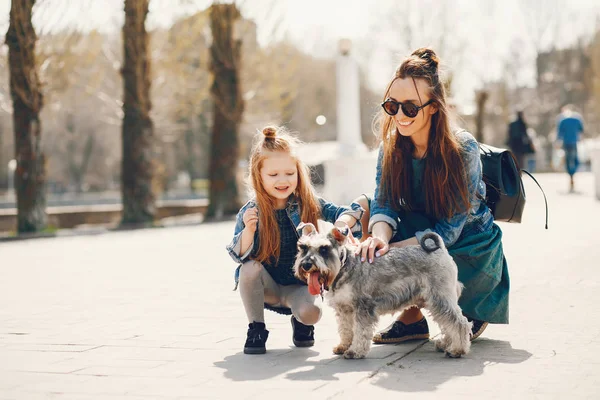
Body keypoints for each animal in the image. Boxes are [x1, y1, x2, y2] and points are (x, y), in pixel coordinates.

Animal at [292, 222, 472, 360]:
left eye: (324, 249)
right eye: (303, 247)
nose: (306, 264)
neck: (344, 267)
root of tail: (440, 249)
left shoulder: (363, 307)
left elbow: (360, 331)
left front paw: (355, 351)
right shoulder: (344, 309)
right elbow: (346, 329)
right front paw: (343, 346)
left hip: (439, 298)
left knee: (459, 322)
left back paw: (457, 350)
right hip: (435, 301)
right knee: (447, 323)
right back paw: (445, 344)